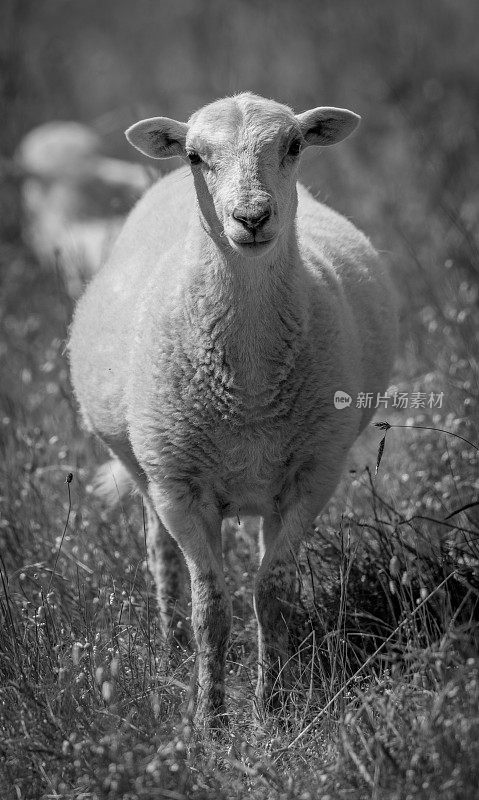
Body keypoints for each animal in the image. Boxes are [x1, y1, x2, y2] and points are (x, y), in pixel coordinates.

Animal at [67, 92, 398, 724]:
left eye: (293, 146)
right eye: (197, 156)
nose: (252, 218)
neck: (247, 385)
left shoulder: (311, 476)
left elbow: (271, 594)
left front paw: (271, 708)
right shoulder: (180, 489)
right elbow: (211, 607)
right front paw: (209, 721)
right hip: (147, 467)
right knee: (161, 557)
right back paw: (171, 649)